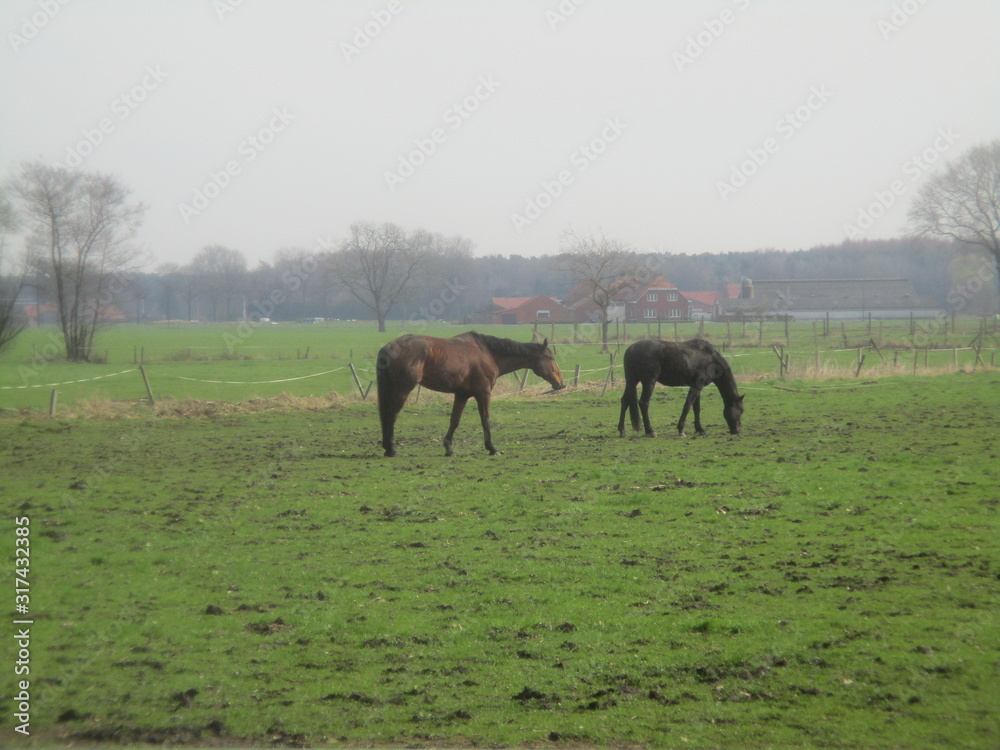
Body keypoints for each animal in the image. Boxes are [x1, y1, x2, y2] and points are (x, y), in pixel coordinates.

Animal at [376, 331, 565, 456]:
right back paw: (391, 449)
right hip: (402, 389)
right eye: (551, 358)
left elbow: (454, 421)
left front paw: (449, 448)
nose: (561, 383)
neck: (487, 353)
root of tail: (389, 347)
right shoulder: (483, 393)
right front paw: (492, 448)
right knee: (391, 415)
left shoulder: (462, 395)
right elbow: (486, 420)